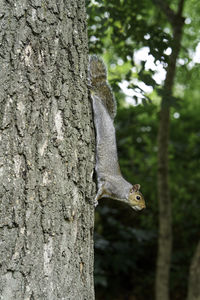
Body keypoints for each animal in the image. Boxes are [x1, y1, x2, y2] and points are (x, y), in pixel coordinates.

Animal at [89, 55, 145, 211]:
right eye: (138, 197)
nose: (143, 207)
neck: (122, 193)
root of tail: (109, 118)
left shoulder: (109, 192)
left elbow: (102, 195)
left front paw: (96, 202)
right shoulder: (107, 185)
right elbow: (100, 191)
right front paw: (94, 200)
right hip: (99, 113)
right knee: (96, 101)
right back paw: (92, 94)